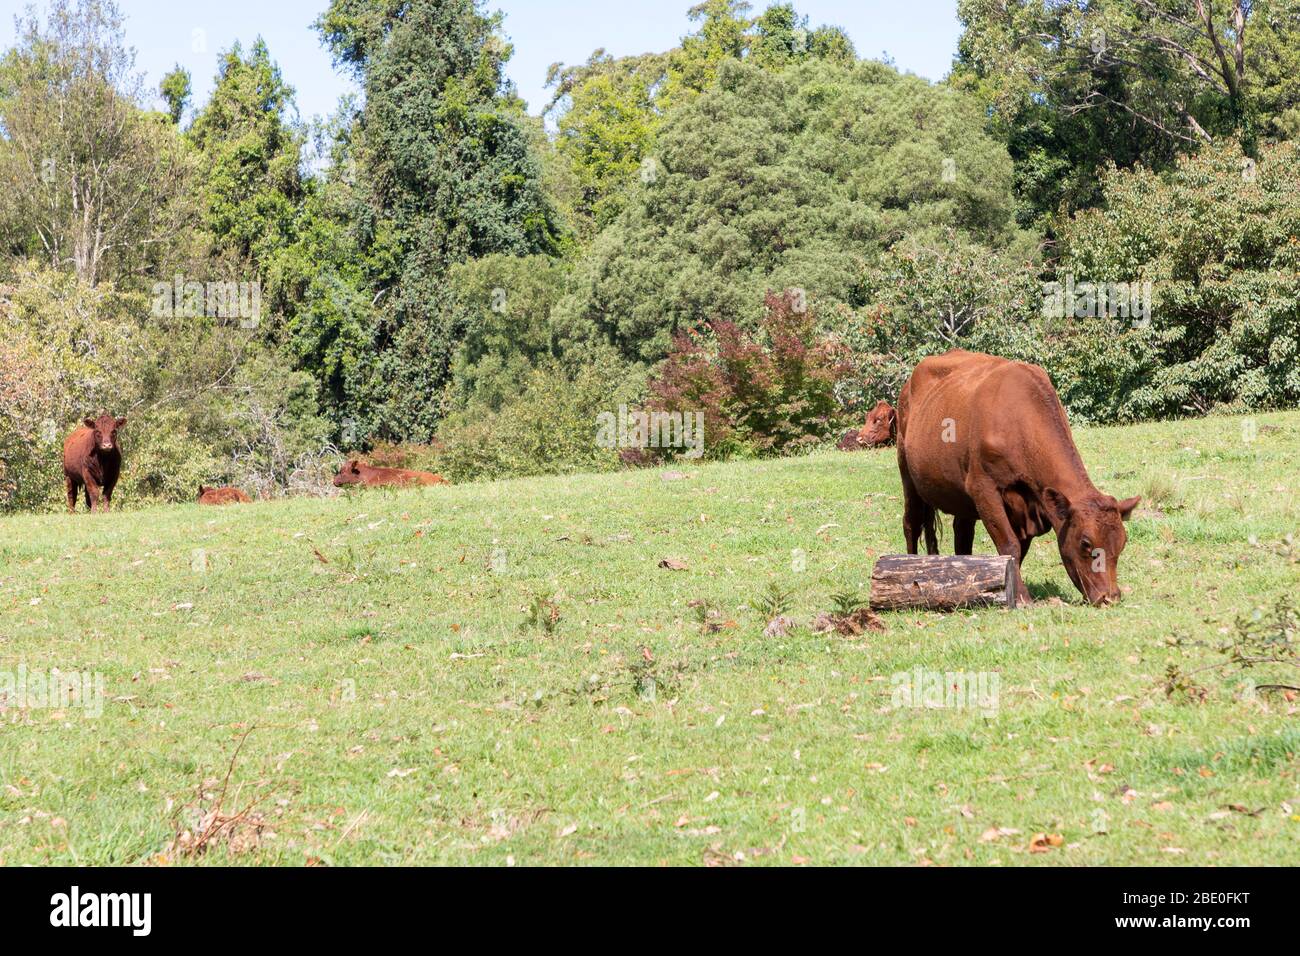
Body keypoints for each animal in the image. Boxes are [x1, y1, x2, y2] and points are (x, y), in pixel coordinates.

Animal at [896, 350, 1139, 606]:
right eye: (1086, 543)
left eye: (1122, 543)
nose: (1110, 597)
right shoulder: (983, 488)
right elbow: (1009, 545)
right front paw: (1021, 597)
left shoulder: (1033, 507)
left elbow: (1019, 550)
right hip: (907, 472)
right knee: (911, 523)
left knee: (962, 532)